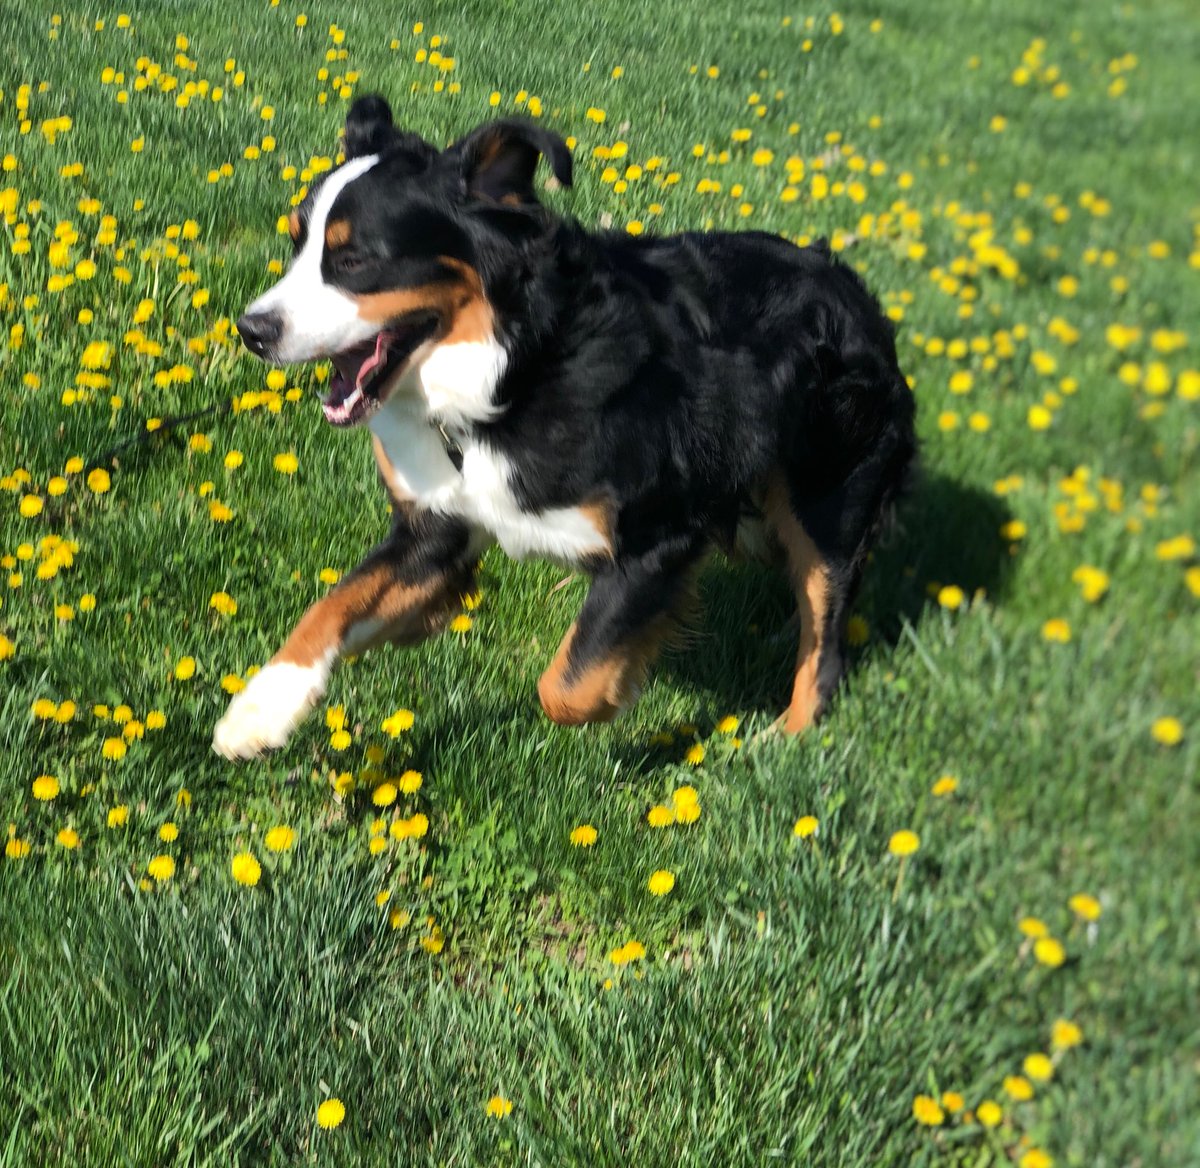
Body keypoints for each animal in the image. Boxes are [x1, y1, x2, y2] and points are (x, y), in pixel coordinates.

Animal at [211, 95, 912, 763]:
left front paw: (621, 695)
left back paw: (781, 743)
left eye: (354, 259)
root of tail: (851, 286)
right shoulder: (435, 531)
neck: (511, 372)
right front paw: (259, 709)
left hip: (827, 501)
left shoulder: (661, 534)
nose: (252, 331)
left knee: (825, 641)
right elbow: (333, 604)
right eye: (296, 243)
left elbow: (566, 687)